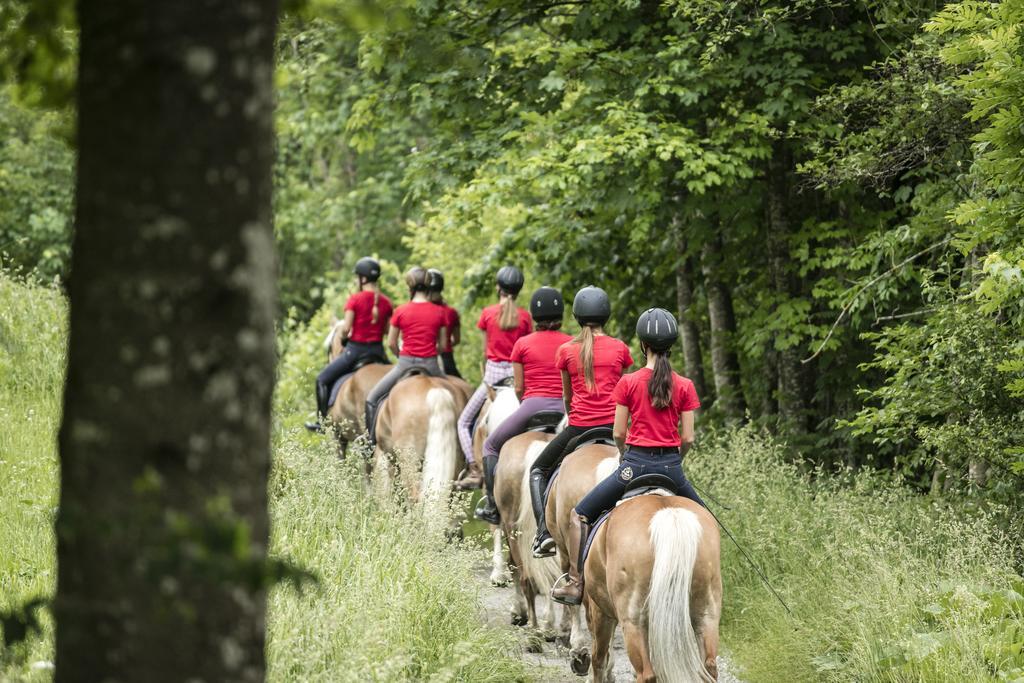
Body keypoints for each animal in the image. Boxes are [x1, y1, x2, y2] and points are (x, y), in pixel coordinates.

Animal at [585, 493, 720, 679]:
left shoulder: (600, 611)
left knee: (645, 673)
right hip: (707, 615)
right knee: (709, 665)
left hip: (632, 622)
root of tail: (670, 515)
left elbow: (599, 659)